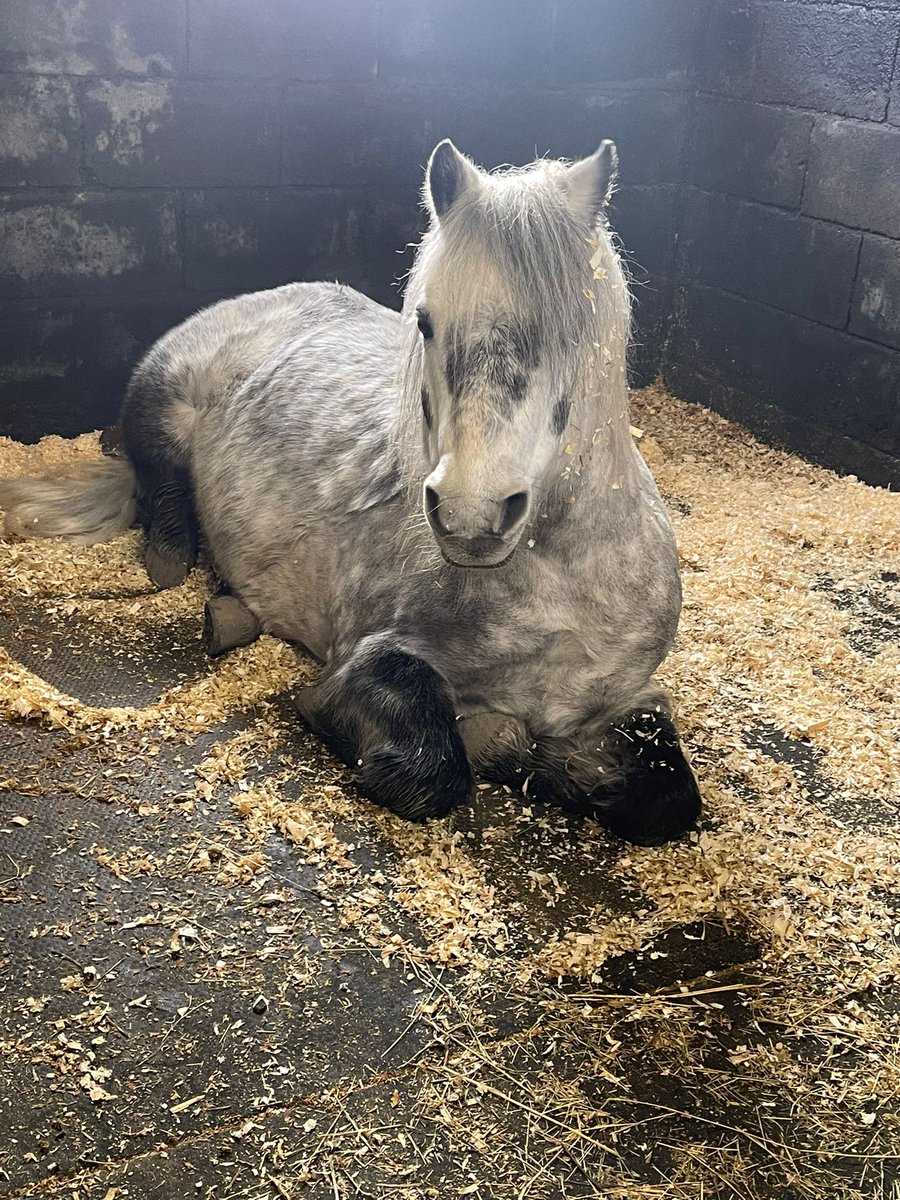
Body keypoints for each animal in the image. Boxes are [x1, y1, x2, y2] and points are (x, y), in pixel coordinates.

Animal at [0, 140, 705, 844]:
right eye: (425, 322)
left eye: (576, 329)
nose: (470, 515)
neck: (554, 588)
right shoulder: (371, 658)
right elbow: (433, 767)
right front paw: (495, 741)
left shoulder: (625, 697)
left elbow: (668, 797)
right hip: (163, 394)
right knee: (161, 493)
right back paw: (185, 574)